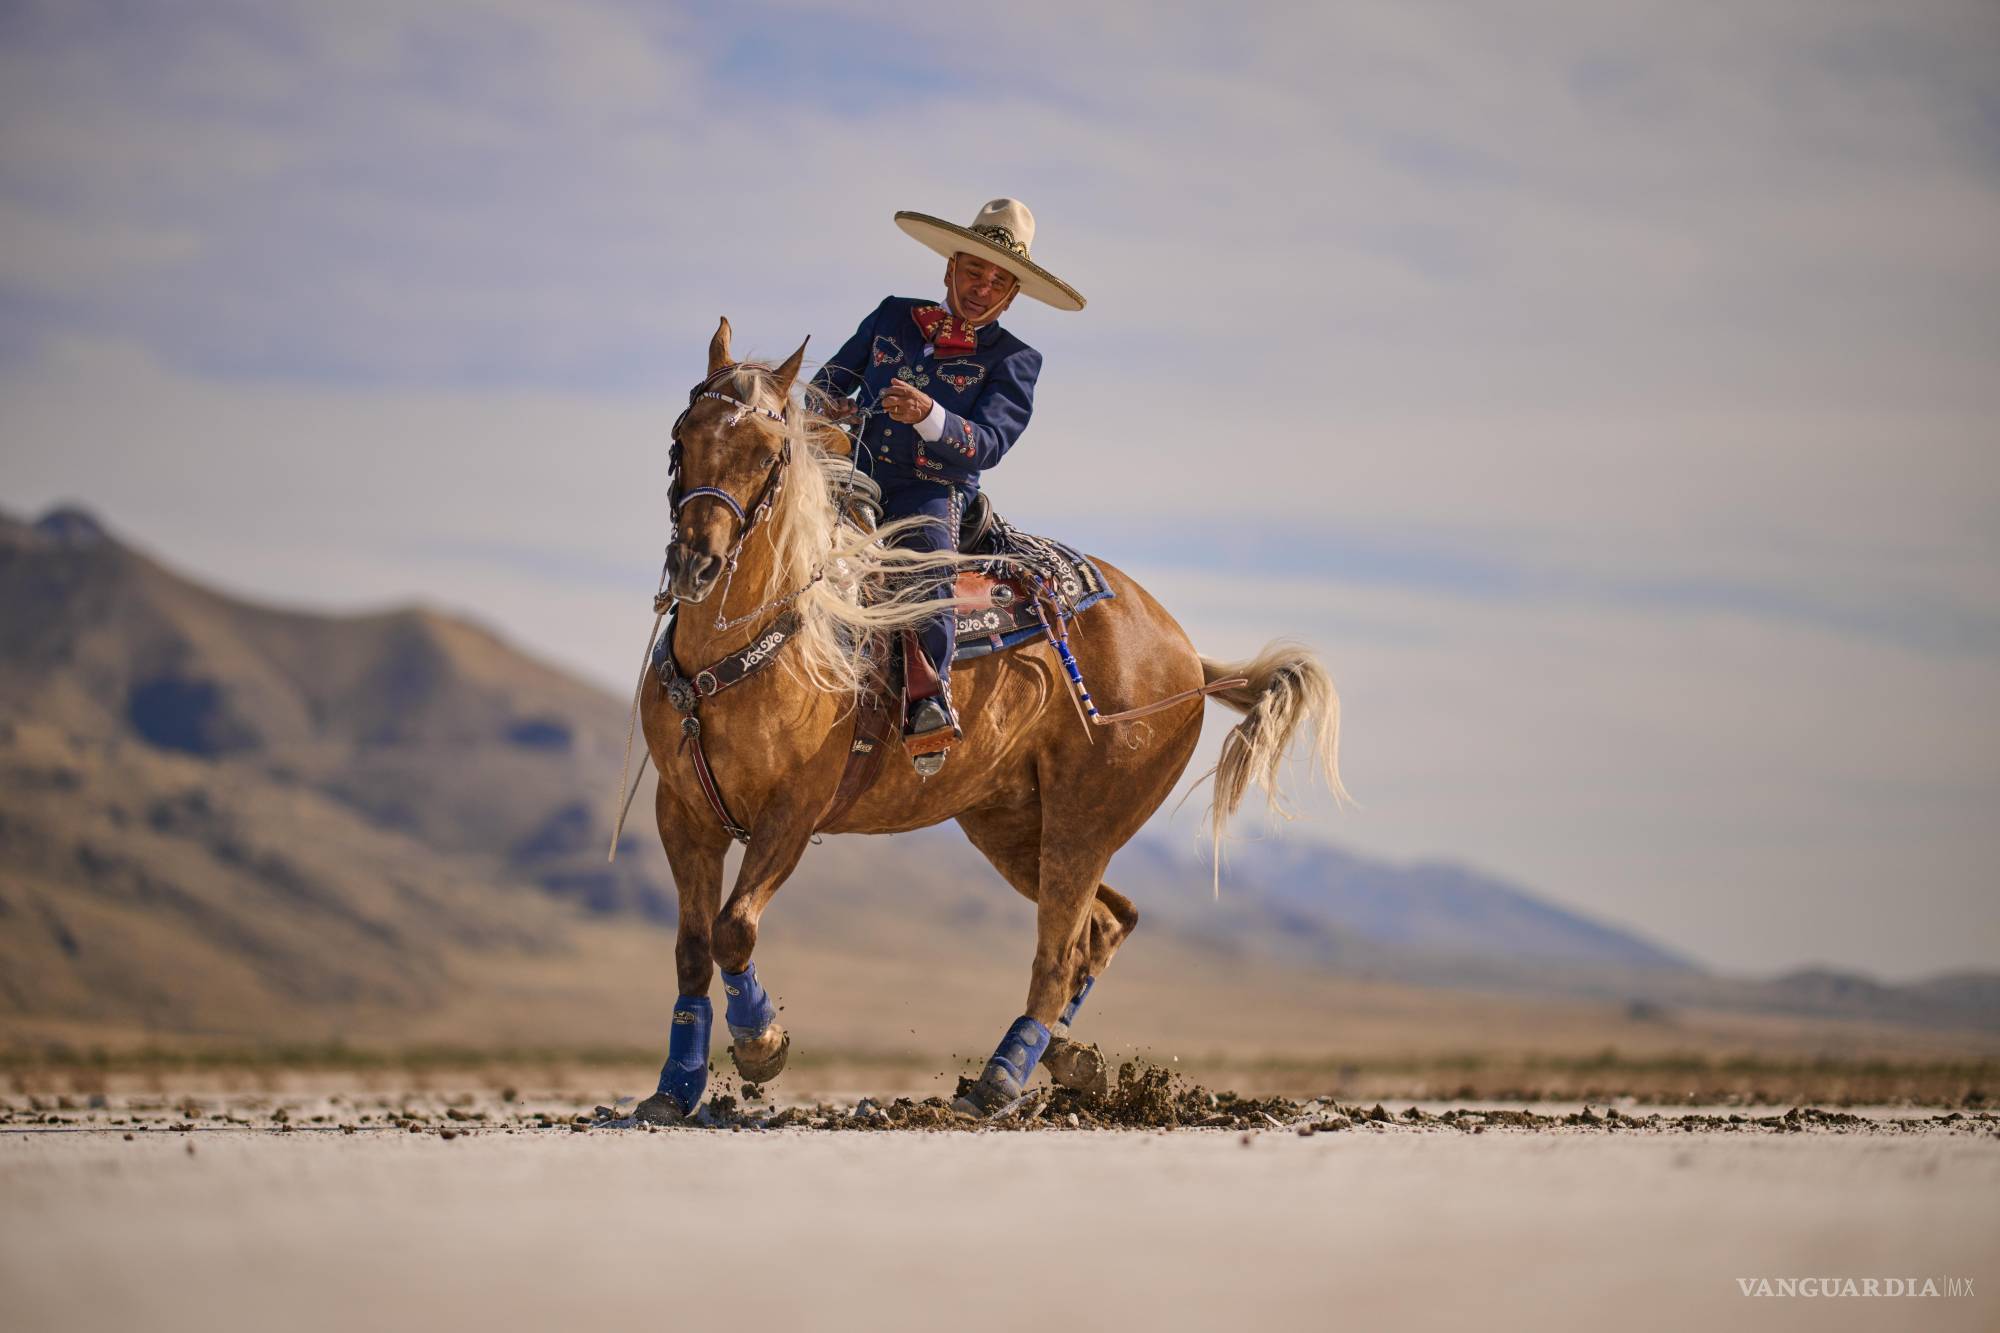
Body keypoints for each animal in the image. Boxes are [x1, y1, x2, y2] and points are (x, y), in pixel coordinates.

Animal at [625, 317, 1346, 1120]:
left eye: (766, 452)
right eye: (682, 435)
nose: (697, 564)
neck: (753, 646)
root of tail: (1188, 659)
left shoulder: (794, 812)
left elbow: (734, 929)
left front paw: (761, 1045)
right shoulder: (682, 810)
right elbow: (693, 946)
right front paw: (675, 1085)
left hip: (1084, 821)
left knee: (1059, 950)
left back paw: (1001, 1078)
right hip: (1011, 826)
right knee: (1107, 921)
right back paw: (1067, 1057)